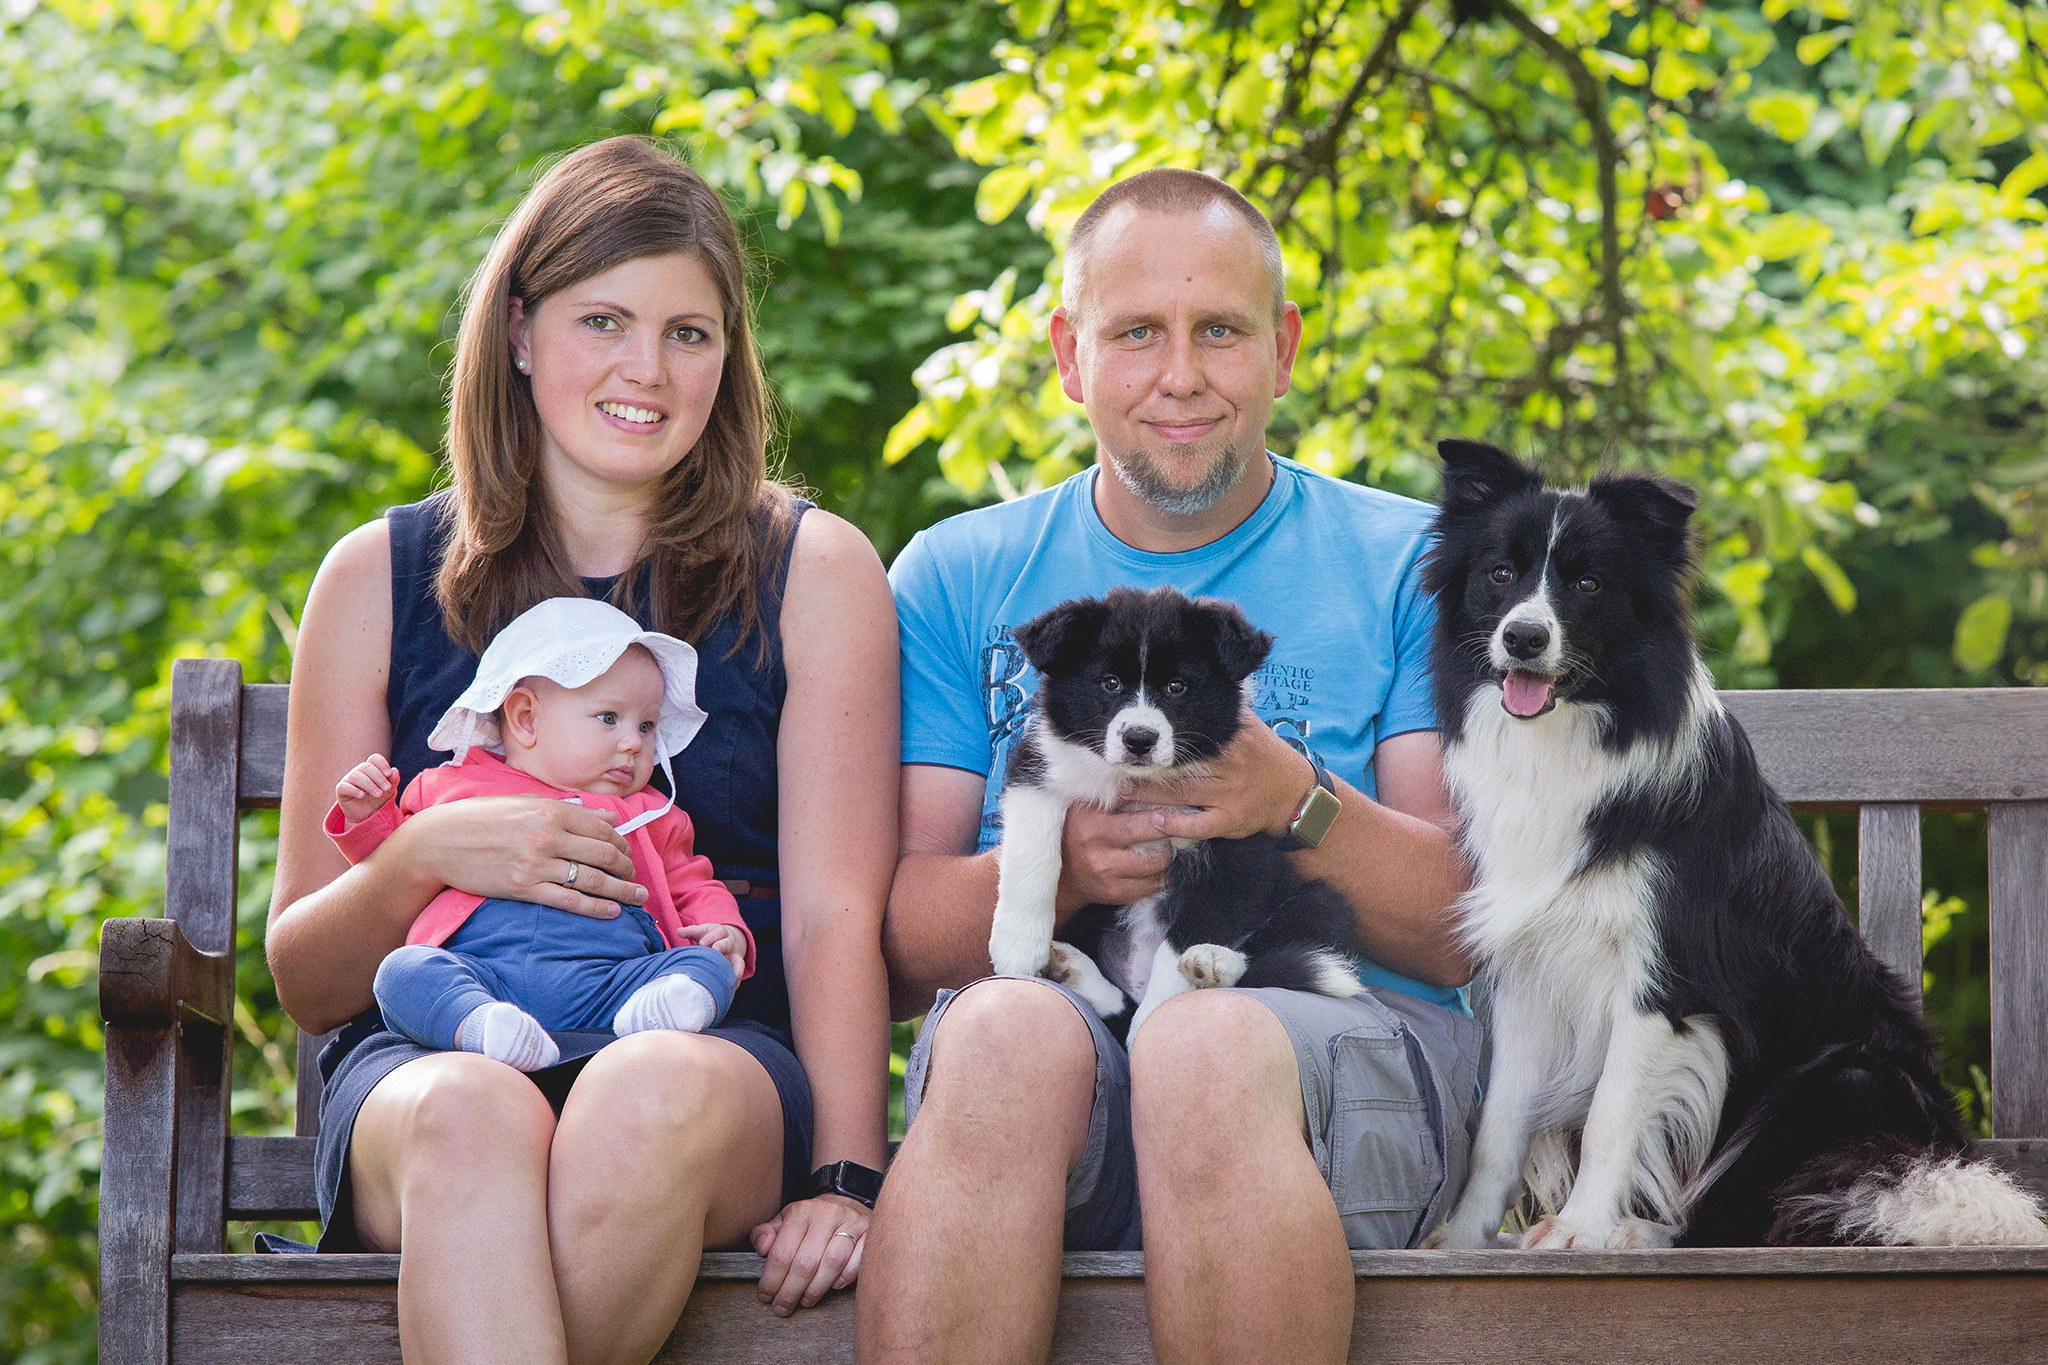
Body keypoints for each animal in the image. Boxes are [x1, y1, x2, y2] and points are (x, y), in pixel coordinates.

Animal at [987, 585, 1368, 1035]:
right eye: (1110, 683)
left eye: (1176, 686)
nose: (1139, 739)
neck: (1145, 783)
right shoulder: (1039, 768)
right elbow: (1031, 853)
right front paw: (1017, 945)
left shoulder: (1232, 844)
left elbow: (1183, 940)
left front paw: (1152, 1022)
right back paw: (1072, 970)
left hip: (1322, 898)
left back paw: (1213, 963)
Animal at [1425, 439, 2048, 1252]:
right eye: (1501, 573)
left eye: (1588, 583)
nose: (1524, 637)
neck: (1576, 735)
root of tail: (1936, 1147)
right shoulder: (1533, 967)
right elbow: (1499, 1124)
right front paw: (1466, 1235)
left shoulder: (1664, 979)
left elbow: (1612, 1114)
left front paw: (1580, 1231)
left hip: (1843, 1079)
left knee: (1752, 1212)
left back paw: (1644, 1232)